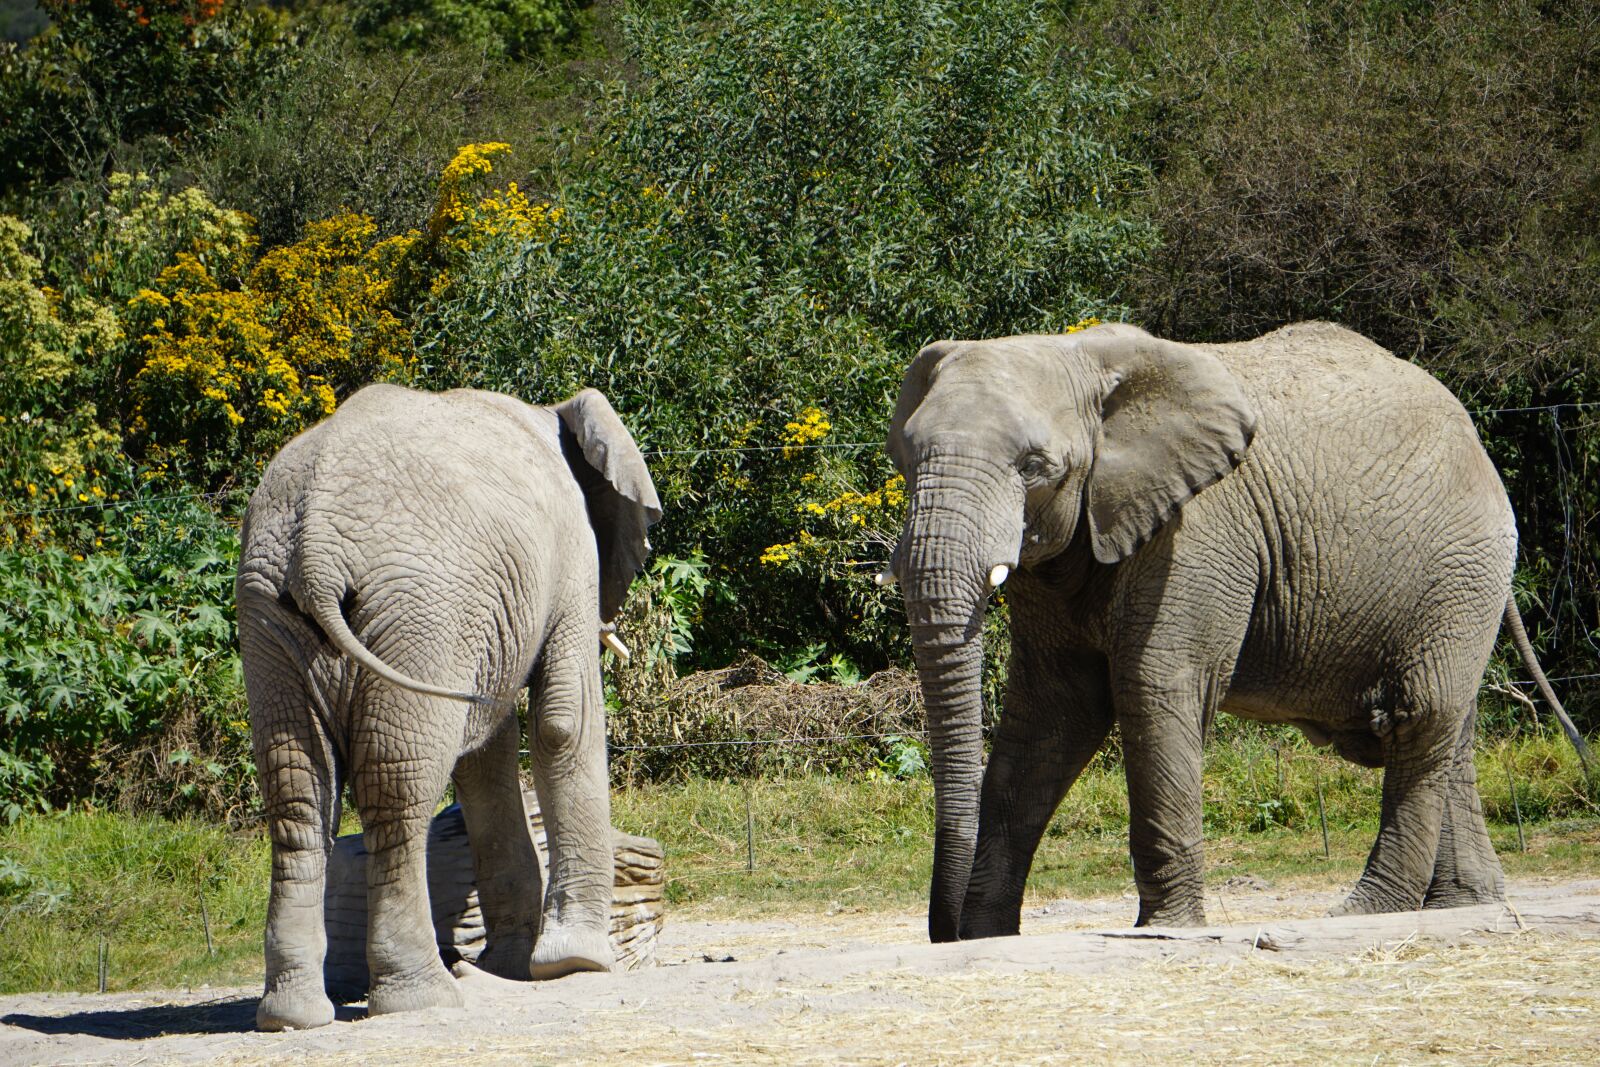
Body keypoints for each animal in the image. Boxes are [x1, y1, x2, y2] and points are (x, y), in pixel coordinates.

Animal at [235, 383, 660, 1030]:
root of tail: (315, 551)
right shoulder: (570, 554)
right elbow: (563, 723)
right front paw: (577, 965)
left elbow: (485, 755)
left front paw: (508, 967)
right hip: (420, 611)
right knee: (396, 789)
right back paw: (423, 998)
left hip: (269, 617)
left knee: (298, 796)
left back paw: (292, 1018)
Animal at [882, 320, 1585, 942]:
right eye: (906, 458)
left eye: (1034, 467)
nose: (943, 930)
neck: (1076, 355)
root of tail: (1476, 439)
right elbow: (1049, 717)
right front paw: (985, 937)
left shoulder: (1198, 530)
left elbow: (1154, 687)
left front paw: (1166, 929)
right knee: (1448, 730)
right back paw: (1463, 908)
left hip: (1460, 566)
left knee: (1419, 716)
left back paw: (1364, 911)